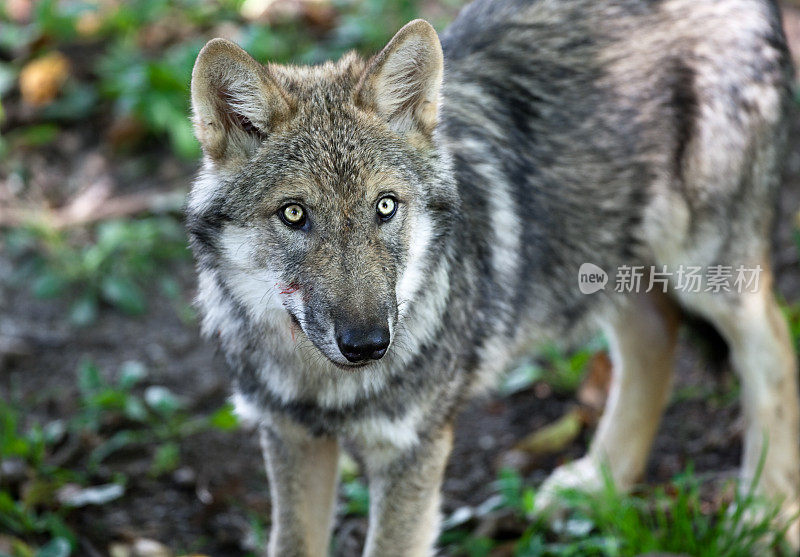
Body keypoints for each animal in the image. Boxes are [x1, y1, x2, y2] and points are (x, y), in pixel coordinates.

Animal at [189, 0, 800, 552]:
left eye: (385, 207)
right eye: (294, 214)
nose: (367, 344)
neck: (322, 387)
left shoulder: (413, 452)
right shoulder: (289, 438)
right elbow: (292, 542)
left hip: (707, 270)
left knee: (772, 350)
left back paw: (765, 515)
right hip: (604, 259)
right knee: (654, 339)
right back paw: (597, 486)